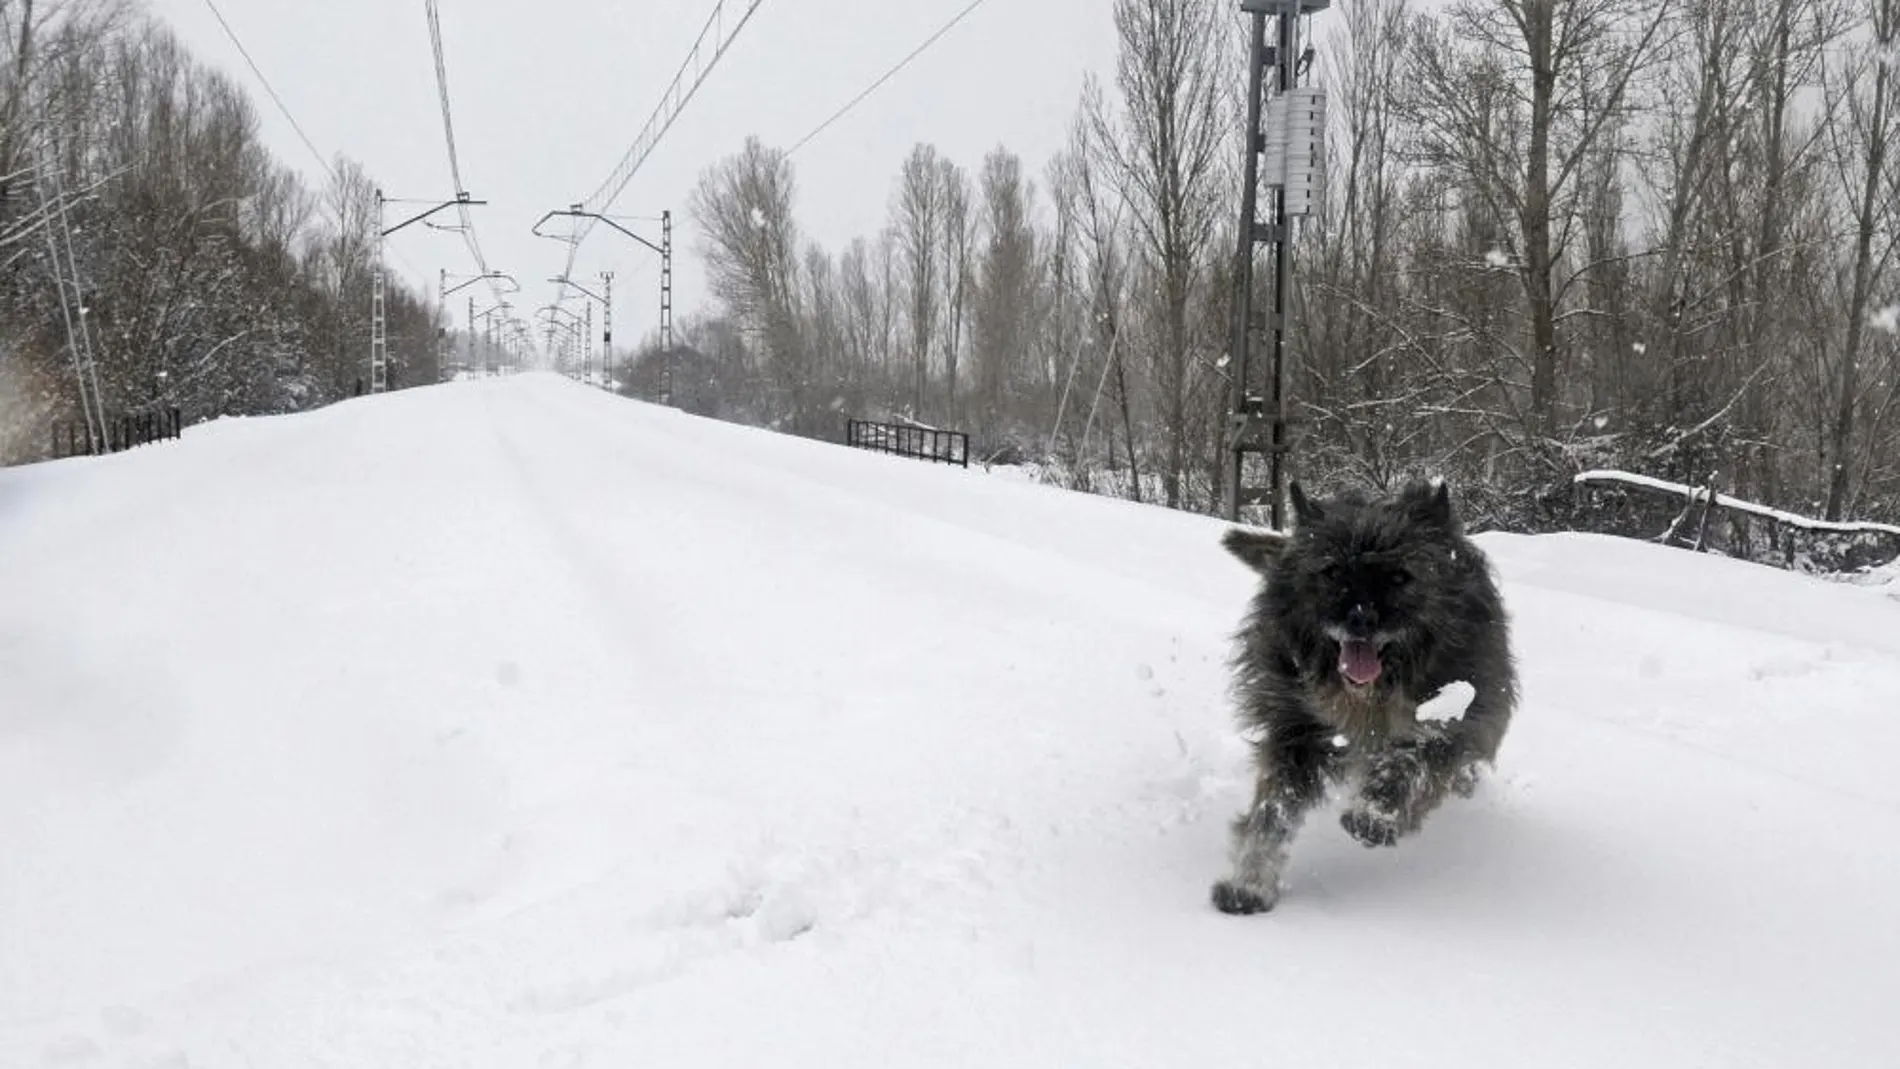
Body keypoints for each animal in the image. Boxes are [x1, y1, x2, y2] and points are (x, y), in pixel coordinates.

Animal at [1208, 480, 1520, 915]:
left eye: (1400, 576)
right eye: (1332, 571)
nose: (1359, 619)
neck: (1372, 694)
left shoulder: (1466, 720)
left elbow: (1417, 758)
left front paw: (1377, 813)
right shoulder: (1297, 731)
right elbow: (1274, 809)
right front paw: (1249, 883)